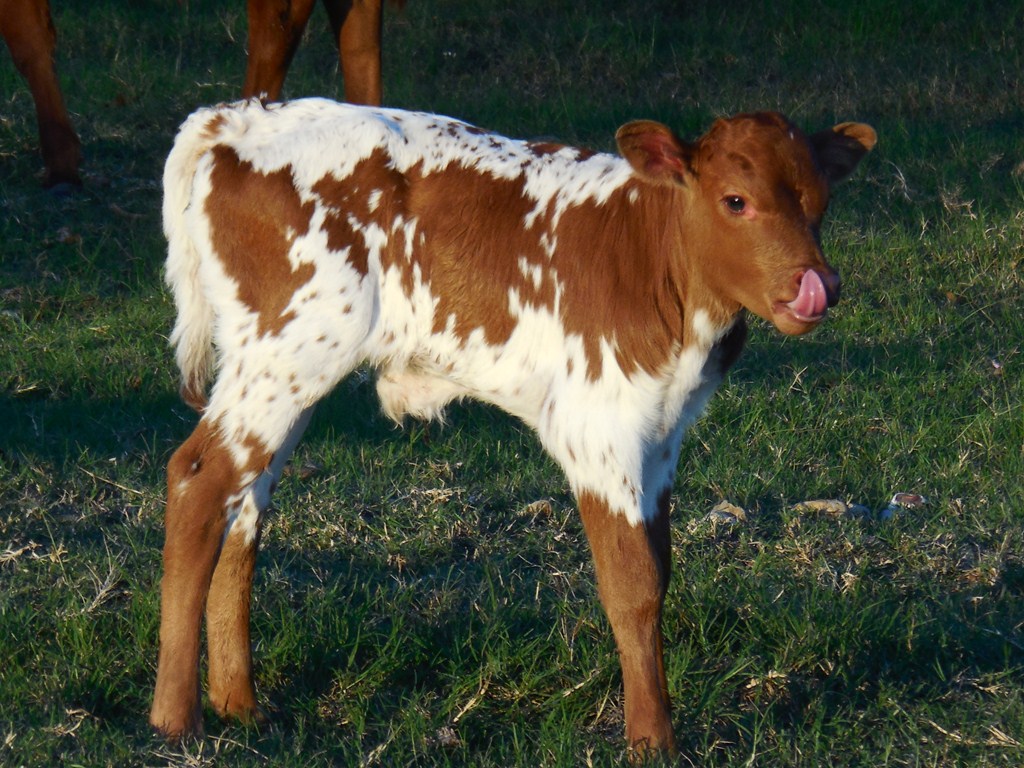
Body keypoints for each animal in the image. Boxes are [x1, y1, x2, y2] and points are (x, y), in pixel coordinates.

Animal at [149, 97, 875, 756]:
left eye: (820, 202)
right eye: (735, 201)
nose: (818, 285)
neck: (656, 260)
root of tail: (241, 117)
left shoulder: (662, 438)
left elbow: (660, 570)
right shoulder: (600, 431)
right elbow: (633, 585)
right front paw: (653, 740)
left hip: (276, 371)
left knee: (243, 503)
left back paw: (238, 702)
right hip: (287, 351)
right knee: (197, 479)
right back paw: (175, 718)